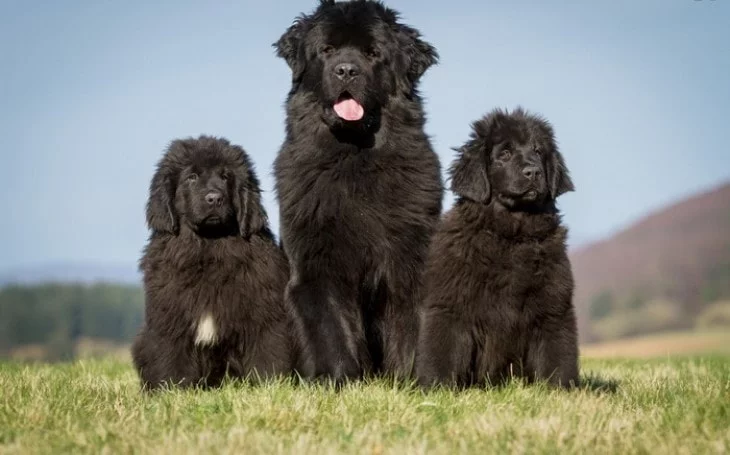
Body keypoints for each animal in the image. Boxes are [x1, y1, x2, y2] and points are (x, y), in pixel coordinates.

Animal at [132, 136, 292, 392]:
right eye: (192, 177)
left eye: (226, 176)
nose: (214, 198)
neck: (208, 249)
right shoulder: (171, 319)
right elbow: (170, 360)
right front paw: (171, 392)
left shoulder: (263, 316)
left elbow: (267, 357)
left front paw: (269, 388)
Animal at [272, 0, 444, 382]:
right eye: (327, 50)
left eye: (373, 53)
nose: (346, 70)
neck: (355, 159)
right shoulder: (317, 264)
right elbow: (331, 328)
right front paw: (339, 380)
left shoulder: (411, 258)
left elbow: (412, 326)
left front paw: (413, 381)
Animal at [416, 108, 580, 390]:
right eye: (504, 154)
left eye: (538, 151)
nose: (533, 172)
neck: (510, 235)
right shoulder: (450, 304)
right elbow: (442, 352)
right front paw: (436, 389)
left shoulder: (553, 307)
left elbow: (556, 357)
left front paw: (561, 391)